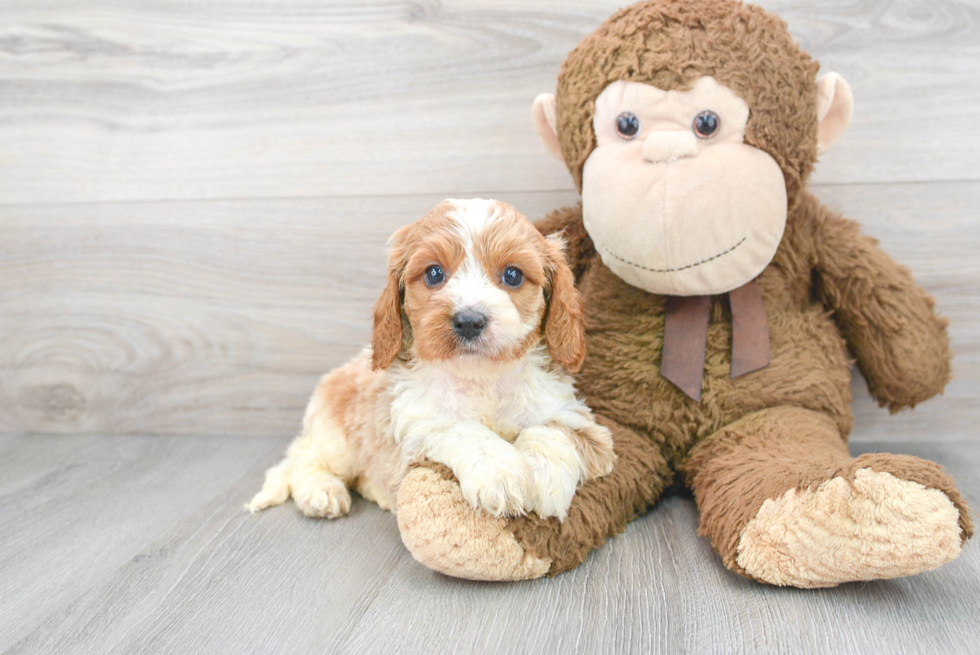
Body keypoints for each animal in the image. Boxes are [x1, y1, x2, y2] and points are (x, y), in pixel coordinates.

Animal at [245, 199, 612, 524]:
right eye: (434, 274)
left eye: (512, 275)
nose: (469, 320)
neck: (482, 377)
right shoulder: (417, 427)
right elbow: (464, 429)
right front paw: (501, 473)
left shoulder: (575, 416)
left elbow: (554, 431)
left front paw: (544, 478)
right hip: (336, 438)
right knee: (301, 460)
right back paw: (322, 491)